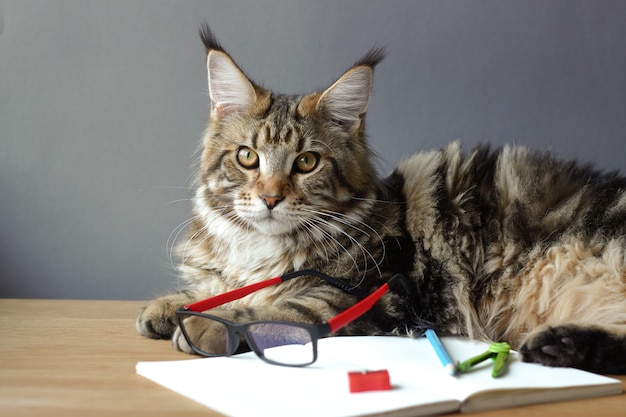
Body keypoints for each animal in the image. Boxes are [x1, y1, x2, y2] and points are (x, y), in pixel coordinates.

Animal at [136, 24, 624, 372]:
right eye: (247, 157)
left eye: (307, 162)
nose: (271, 198)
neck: (261, 249)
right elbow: (211, 290)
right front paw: (167, 307)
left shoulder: (371, 292)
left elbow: (274, 308)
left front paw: (205, 326)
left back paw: (556, 346)